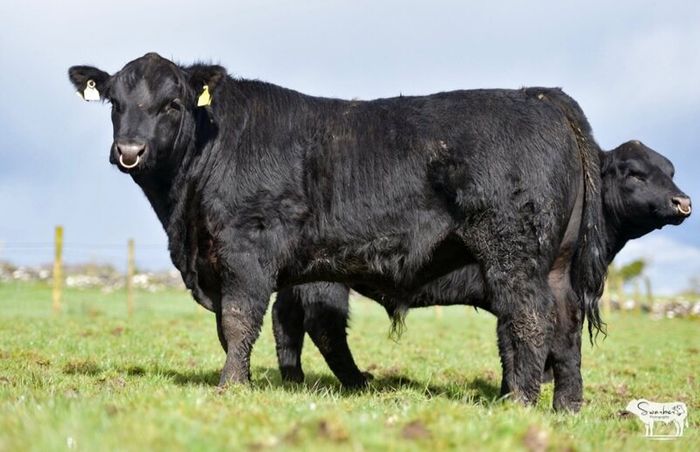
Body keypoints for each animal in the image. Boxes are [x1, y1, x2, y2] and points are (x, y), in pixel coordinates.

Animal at [271, 140, 692, 409]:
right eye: (634, 172)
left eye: (671, 169)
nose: (683, 201)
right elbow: (518, 340)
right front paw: (516, 392)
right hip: (325, 278)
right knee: (323, 328)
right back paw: (356, 381)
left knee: (285, 320)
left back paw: (293, 379)